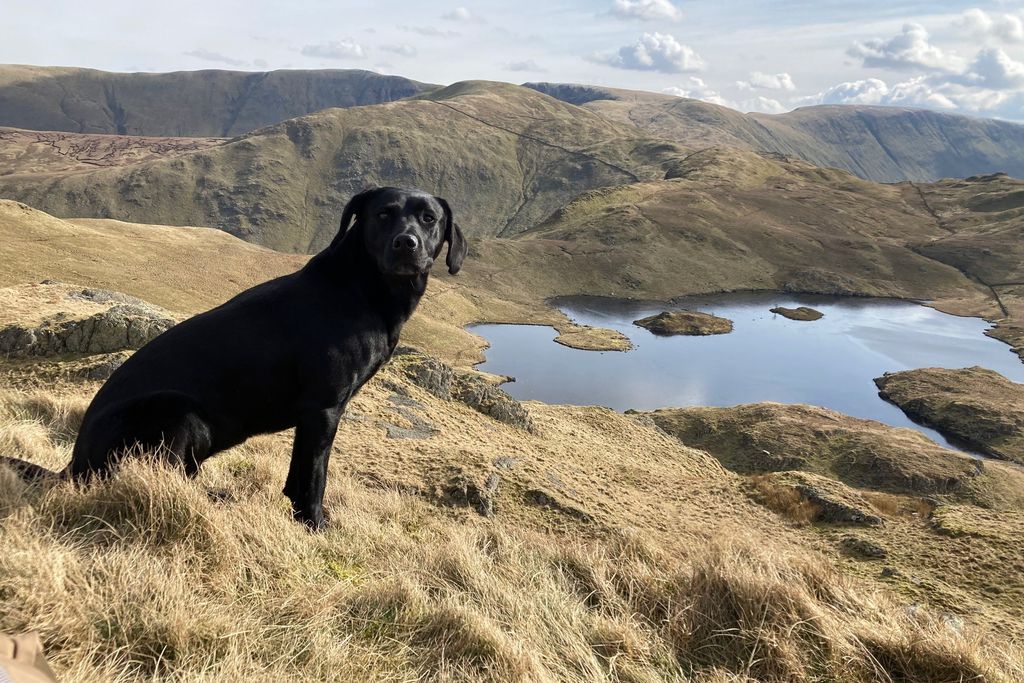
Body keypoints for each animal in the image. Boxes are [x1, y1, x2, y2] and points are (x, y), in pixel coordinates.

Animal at [65, 187, 464, 528]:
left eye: (429, 218)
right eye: (383, 214)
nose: (406, 244)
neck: (360, 287)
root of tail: (73, 463)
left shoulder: (313, 417)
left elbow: (297, 473)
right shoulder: (324, 408)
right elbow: (315, 476)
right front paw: (314, 524)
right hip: (181, 412)